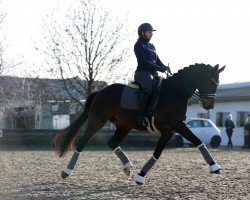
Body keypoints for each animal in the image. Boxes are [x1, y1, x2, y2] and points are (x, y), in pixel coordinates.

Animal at [52, 63, 225, 185]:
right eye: (211, 82)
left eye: (218, 82)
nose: (210, 106)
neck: (177, 92)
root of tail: (100, 92)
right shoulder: (177, 125)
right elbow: (197, 140)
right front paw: (215, 166)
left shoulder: (168, 131)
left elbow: (157, 154)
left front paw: (140, 177)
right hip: (97, 121)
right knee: (82, 142)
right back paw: (66, 171)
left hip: (124, 126)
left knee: (112, 142)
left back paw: (128, 166)